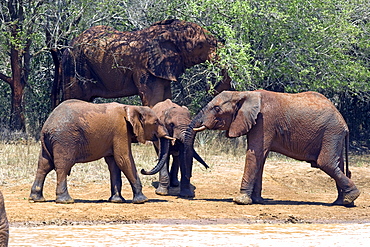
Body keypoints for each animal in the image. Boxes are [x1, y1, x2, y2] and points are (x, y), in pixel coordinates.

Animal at [28, 99, 173, 204]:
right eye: (156, 122)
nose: (144, 170)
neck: (132, 107)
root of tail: (46, 127)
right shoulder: (121, 130)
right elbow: (124, 159)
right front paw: (142, 200)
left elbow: (114, 163)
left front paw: (116, 201)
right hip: (65, 140)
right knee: (63, 166)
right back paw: (66, 201)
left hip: (51, 142)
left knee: (44, 165)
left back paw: (36, 199)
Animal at [53, 18, 230, 107]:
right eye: (200, 45)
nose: (211, 89)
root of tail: (67, 48)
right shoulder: (145, 68)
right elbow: (153, 100)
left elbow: (165, 97)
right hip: (75, 67)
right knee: (75, 99)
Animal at [186, 89, 360, 206]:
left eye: (216, 108)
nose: (192, 193)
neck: (243, 93)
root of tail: (344, 123)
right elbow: (260, 158)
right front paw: (257, 200)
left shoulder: (265, 122)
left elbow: (254, 154)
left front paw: (240, 201)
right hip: (334, 136)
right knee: (338, 164)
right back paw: (341, 202)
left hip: (331, 133)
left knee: (326, 163)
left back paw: (351, 198)